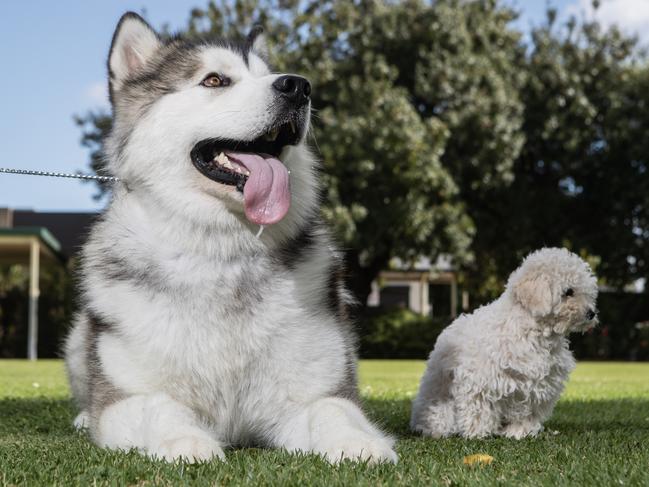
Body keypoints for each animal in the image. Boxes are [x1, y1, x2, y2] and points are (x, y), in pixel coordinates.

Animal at [64, 12, 394, 466]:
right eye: (215, 80)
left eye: (269, 73)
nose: (298, 86)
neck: (224, 252)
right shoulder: (123, 399)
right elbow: (157, 406)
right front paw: (184, 442)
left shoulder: (313, 390)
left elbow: (331, 409)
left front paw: (357, 442)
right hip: (79, 340)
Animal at [410, 250, 596, 440]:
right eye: (569, 292)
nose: (592, 313)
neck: (533, 331)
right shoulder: (481, 380)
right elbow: (479, 409)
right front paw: (477, 433)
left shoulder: (536, 386)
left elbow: (526, 413)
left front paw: (520, 432)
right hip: (439, 407)